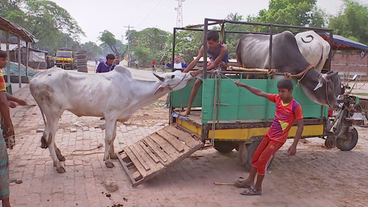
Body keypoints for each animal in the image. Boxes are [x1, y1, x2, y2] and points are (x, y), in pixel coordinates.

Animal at [29, 65, 196, 172]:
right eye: (173, 75)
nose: (190, 74)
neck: (132, 89)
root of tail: (35, 79)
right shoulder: (110, 115)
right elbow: (109, 138)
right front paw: (107, 161)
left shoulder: (116, 117)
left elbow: (114, 136)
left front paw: (114, 155)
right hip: (53, 114)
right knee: (49, 138)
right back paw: (58, 165)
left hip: (50, 115)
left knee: (46, 135)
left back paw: (60, 157)